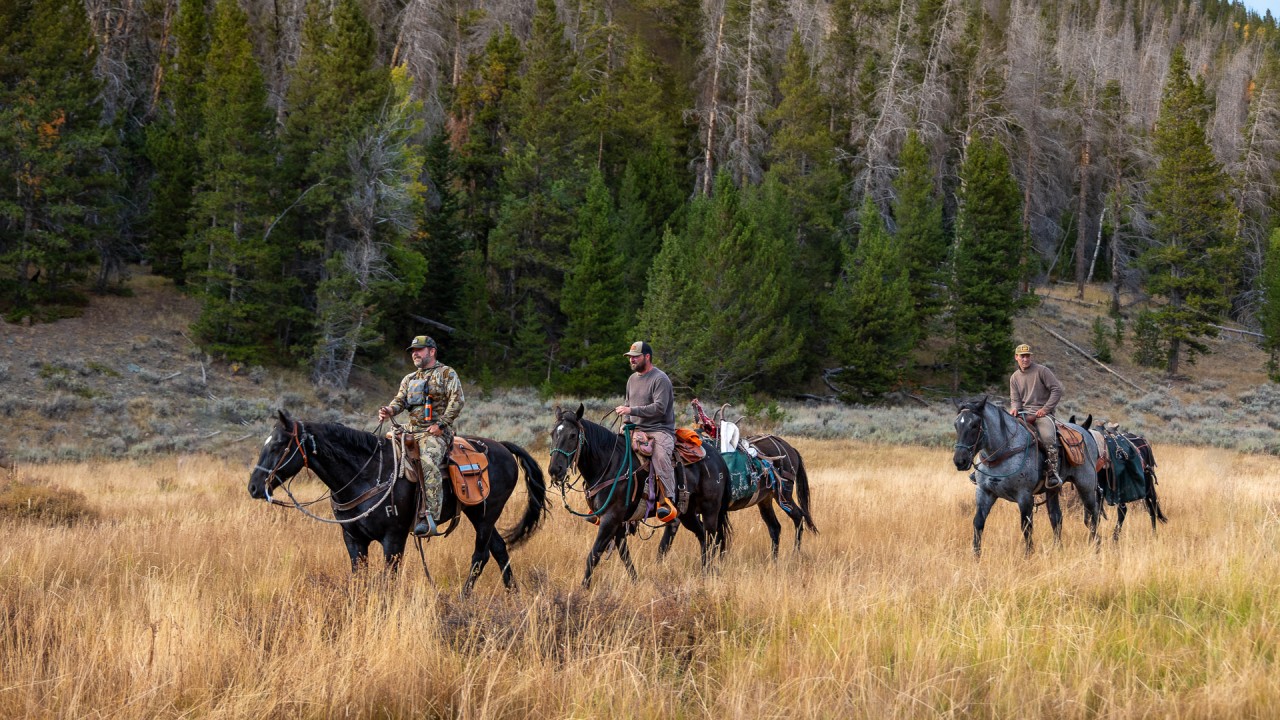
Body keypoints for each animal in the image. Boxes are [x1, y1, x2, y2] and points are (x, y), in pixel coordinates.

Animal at [248, 409, 547, 594]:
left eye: (278, 445)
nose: (253, 487)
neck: (367, 474)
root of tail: (502, 447)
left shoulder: (394, 539)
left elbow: (388, 579)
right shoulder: (353, 539)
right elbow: (360, 576)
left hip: (486, 513)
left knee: (481, 554)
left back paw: (465, 597)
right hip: (478, 514)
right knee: (499, 549)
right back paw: (512, 594)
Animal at [546, 404, 731, 588]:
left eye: (572, 435)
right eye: (553, 433)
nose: (555, 469)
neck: (608, 464)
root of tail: (717, 457)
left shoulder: (610, 518)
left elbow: (594, 554)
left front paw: (584, 588)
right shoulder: (619, 522)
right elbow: (624, 554)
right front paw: (636, 582)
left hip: (710, 510)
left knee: (711, 538)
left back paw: (708, 574)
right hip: (687, 513)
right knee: (702, 536)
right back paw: (705, 572)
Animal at [657, 433, 817, 560]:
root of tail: (790, 448)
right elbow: (666, 543)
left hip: (784, 495)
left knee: (798, 517)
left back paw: (795, 554)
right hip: (765, 500)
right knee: (775, 527)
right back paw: (774, 559)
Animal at [952, 397, 1101, 556]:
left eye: (974, 425)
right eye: (956, 424)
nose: (960, 461)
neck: (1003, 452)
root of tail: (1085, 431)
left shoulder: (1024, 496)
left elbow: (1026, 526)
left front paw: (1028, 555)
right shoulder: (984, 492)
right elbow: (978, 523)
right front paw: (976, 556)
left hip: (1086, 486)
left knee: (1093, 515)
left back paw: (1096, 547)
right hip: (1052, 491)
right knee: (1056, 517)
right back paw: (1058, 549)